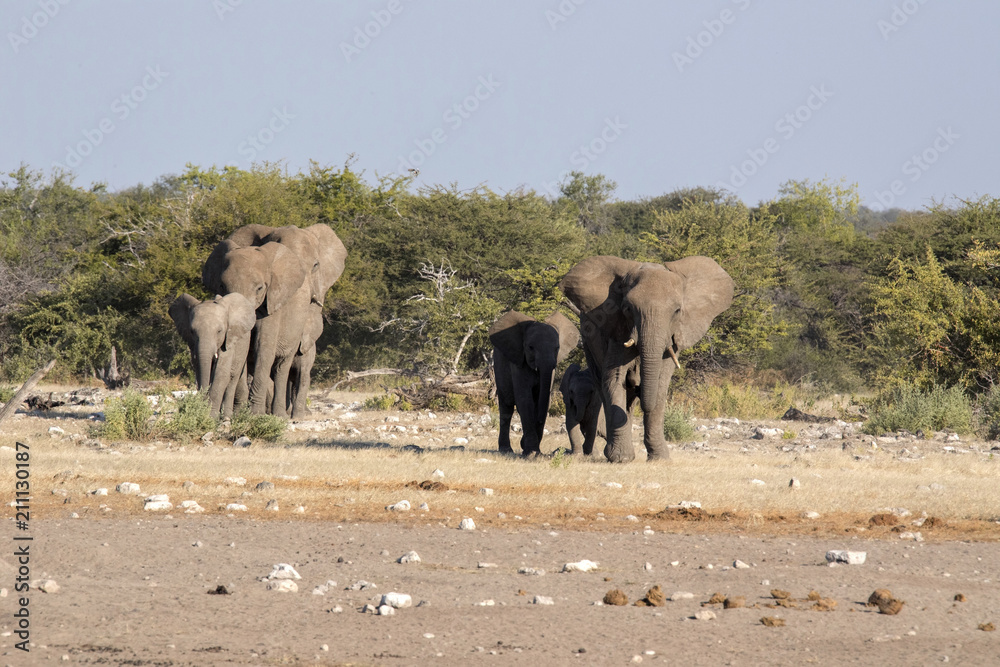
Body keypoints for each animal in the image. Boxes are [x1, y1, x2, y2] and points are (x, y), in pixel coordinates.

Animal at [489, 310, 580, 456]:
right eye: (530, 347)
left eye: (557, 348)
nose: (521, 442)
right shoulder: (519, 362)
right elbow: (525, 400)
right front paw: (531, 454)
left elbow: (544, 400)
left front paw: (531, 449)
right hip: (498, 364)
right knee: (507, 405)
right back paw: (506, 450)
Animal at [559, 255, 734, 463]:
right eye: (627, 309)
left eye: (677, 311)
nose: (639, 385)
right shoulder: (617, 330)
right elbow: (614, 380)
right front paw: (620, 458)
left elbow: (661, 384)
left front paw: (660, 458)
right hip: (588, 343)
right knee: (602, 387)